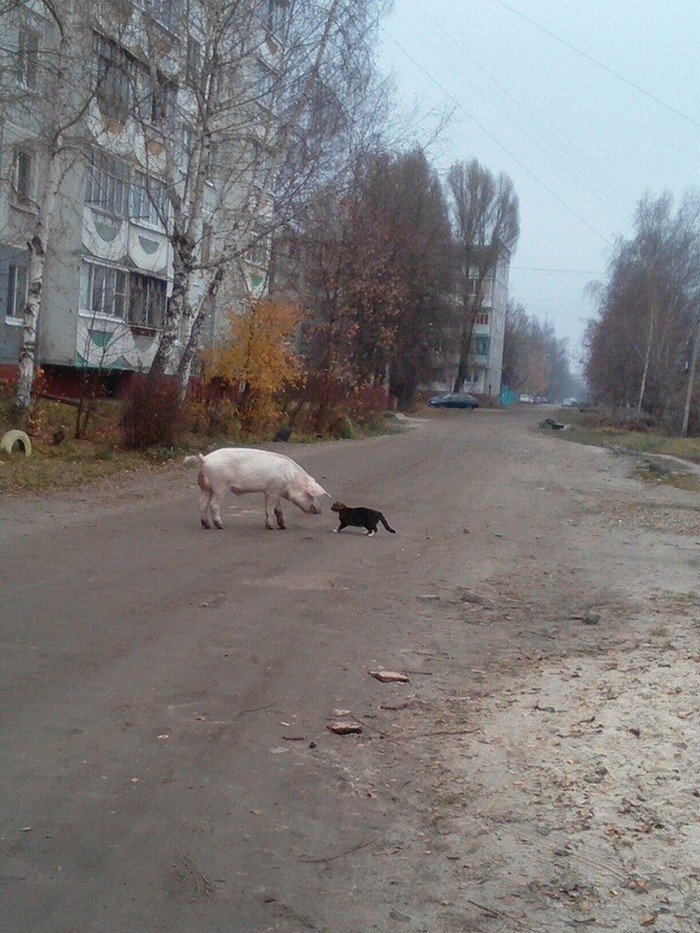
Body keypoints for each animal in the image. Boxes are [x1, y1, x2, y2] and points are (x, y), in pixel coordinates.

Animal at [185, 448, 330, 528]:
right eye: (311, 495)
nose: (320, 510)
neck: (292, 479)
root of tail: (204, 460)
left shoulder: (275, 490)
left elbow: (278, 510)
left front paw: (284, 526)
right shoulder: (272, 491)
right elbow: (269, 508)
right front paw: (271, 527)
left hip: (206, 488)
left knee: (202, 504)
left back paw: (206, 525)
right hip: (221, 485)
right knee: (213, 504)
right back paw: (220, 526)